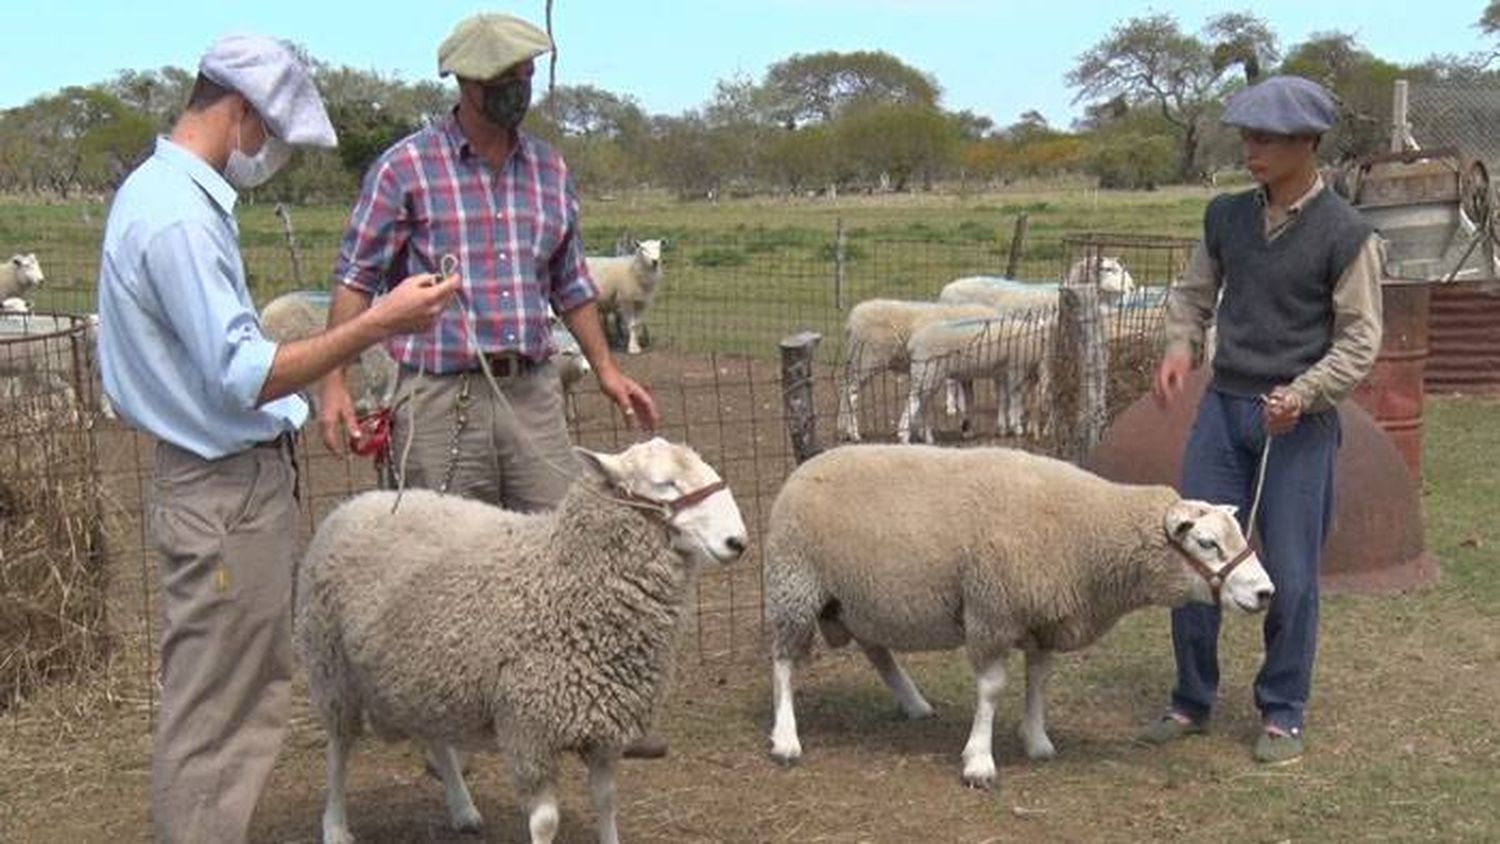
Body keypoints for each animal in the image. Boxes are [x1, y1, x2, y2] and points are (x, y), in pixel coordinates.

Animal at [298, 440, 750, 839]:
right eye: (664, 483)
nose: (738, 542)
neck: (563, 577)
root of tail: (359, 501)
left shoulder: (604, 728)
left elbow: (606, 802)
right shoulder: (528, 729)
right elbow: (546, 822)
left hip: (423, 670)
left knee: (435, 737)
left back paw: (463, 810)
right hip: (332, 669)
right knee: (338, 751)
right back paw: (335, 826)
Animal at [768, 446, 1272, 791]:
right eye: (1206, 543)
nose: (1266, 593)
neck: (1087, 532)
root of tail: (805, 466)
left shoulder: (1043, 622)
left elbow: (1039, 681)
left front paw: (1037, 741)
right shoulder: (992, 614)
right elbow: (992, 689)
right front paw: (979, 762)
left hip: (858, 598)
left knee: (875, 649)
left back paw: (913, 703)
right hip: (795, 583)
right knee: (785, 663)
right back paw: (786, 738)